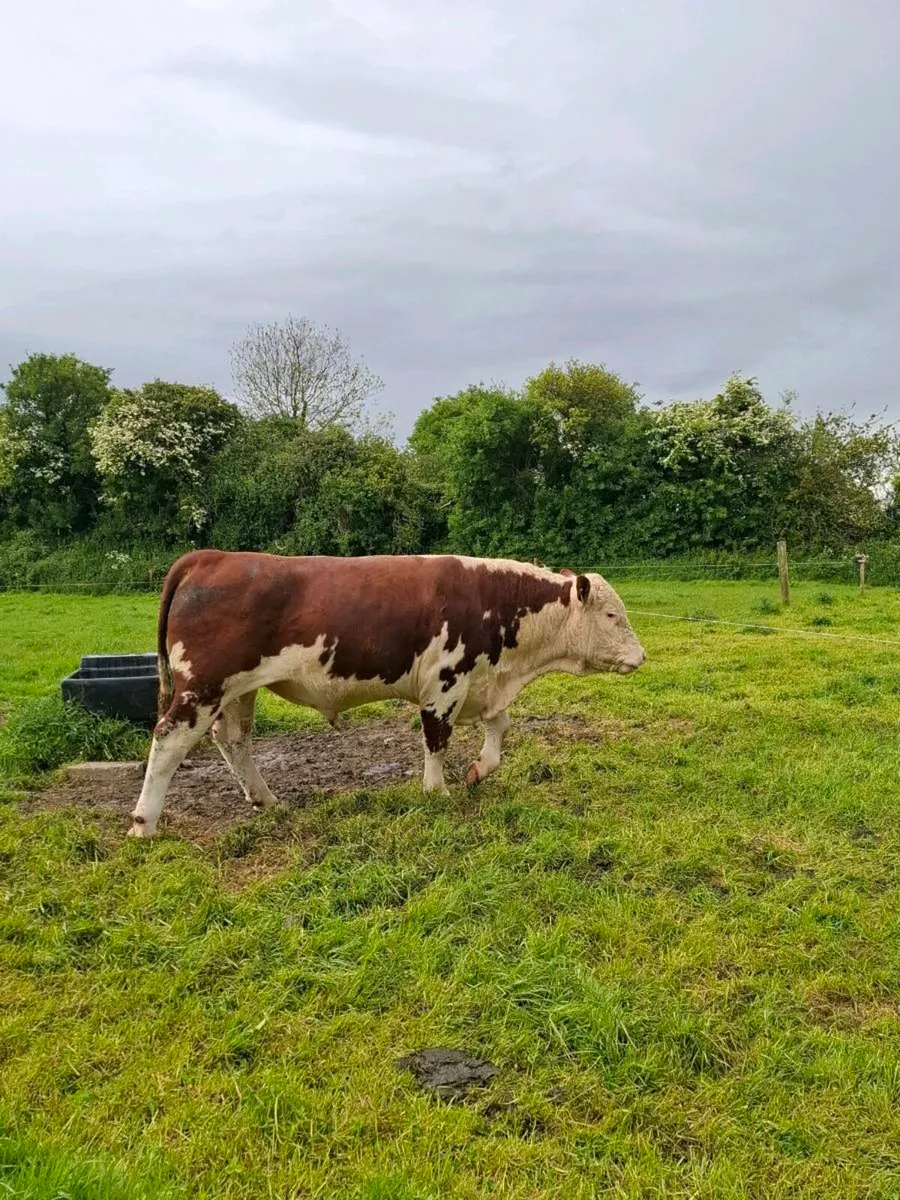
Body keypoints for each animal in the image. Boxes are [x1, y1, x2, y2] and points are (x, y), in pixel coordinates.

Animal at [129, 551, 646, 837]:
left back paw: (266, 800)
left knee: (233, 739)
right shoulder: (445, 682)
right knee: (169, 739)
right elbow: (436, 740)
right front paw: (437, 791)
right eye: (611, 616)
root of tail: (210, 556)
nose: (640, 657)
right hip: (203, 686)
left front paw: (480, 769)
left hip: (238, 690)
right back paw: (144, 823)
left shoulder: (480, 684)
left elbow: (499, 726)